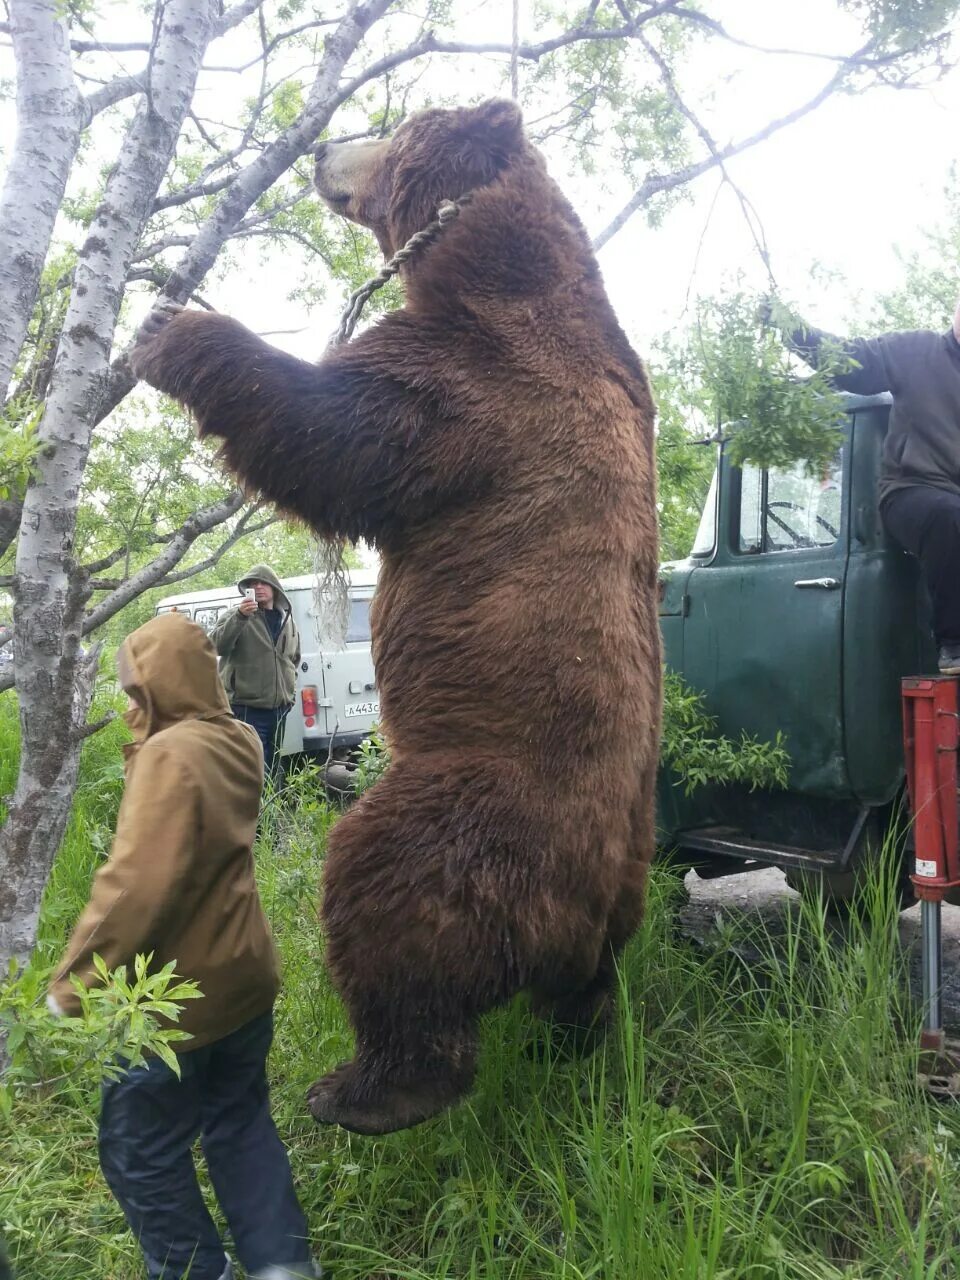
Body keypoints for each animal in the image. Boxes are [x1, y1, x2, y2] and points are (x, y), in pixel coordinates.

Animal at [131, 102, 660, 1141]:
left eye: (393, 123)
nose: (321, 150)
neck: (486, 262)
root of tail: (578, 911)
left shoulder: (475, 392)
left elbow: (334, 425)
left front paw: (173, 329)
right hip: (629, 874)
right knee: (591, 984)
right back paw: (575, 1042)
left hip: (475, 807)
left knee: (392, 900)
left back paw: (366, 1089)